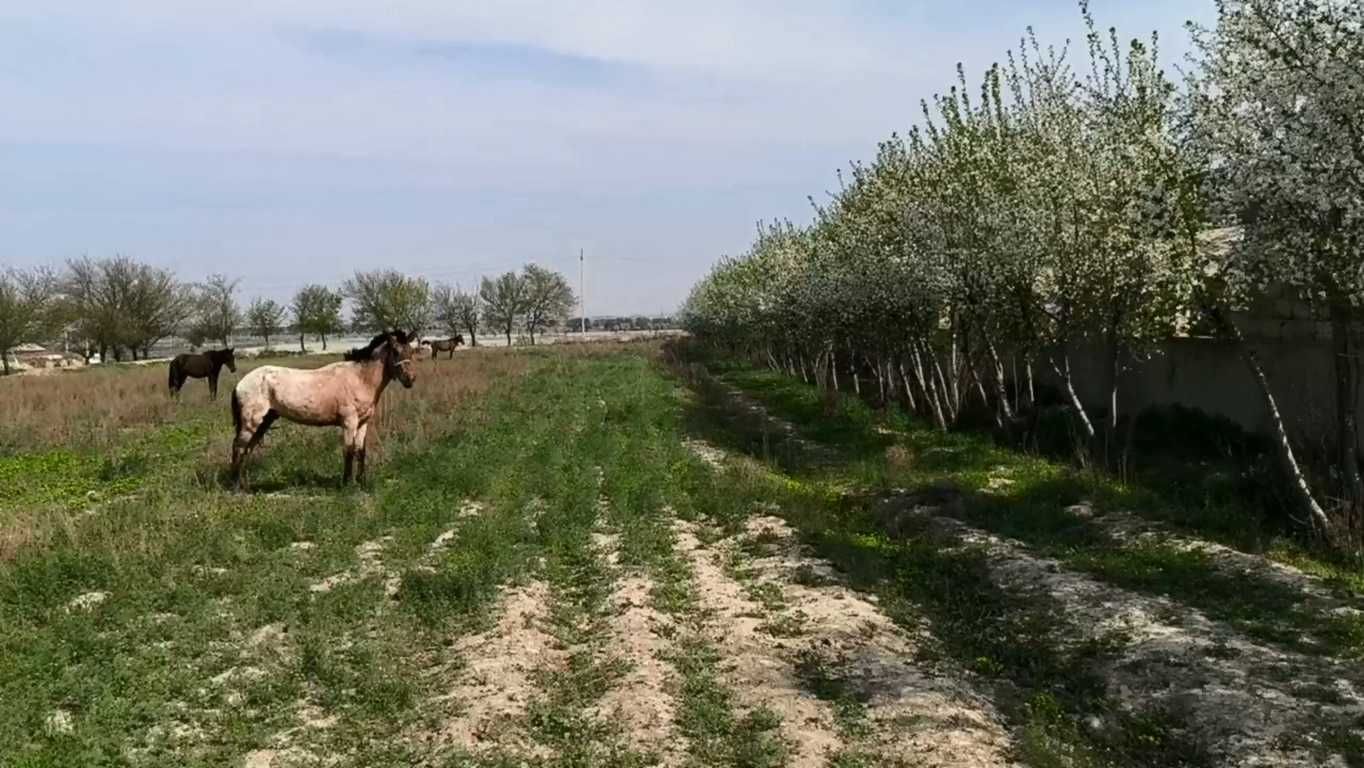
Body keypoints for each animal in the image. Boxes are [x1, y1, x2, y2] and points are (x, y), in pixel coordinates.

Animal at [229, 328, 420, 485]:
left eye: (411, 351)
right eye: (395, 351)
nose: (410, 379)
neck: (359, 378)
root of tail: (240, 383)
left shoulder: (363, 423)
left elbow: (361, 451)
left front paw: (362, 482)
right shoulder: (349, 423)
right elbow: (348, 451)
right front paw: (347, 484)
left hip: (265, 421)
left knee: (247, 448)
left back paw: (244, 484)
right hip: (251, 422)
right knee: (238, 447)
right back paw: (235, 485)